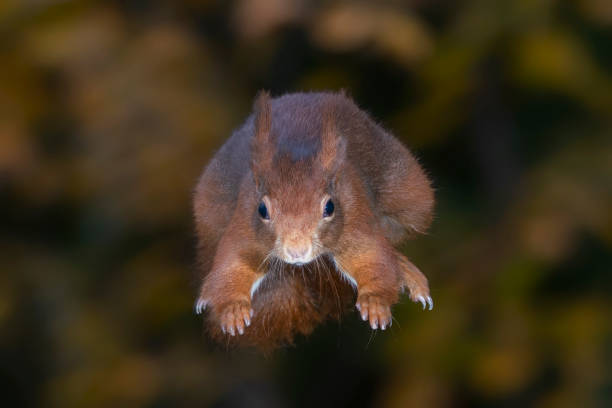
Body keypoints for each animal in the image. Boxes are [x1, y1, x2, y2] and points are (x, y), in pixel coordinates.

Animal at [194, 91, 432, 350]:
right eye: (262, 209)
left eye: (330, 207)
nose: (297, 251)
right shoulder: (244, 226)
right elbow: (234, 265)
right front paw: (233, 309)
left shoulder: (356, 218)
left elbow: (371, 257)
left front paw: (375, 301)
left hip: (405, 192)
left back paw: (407, 271)